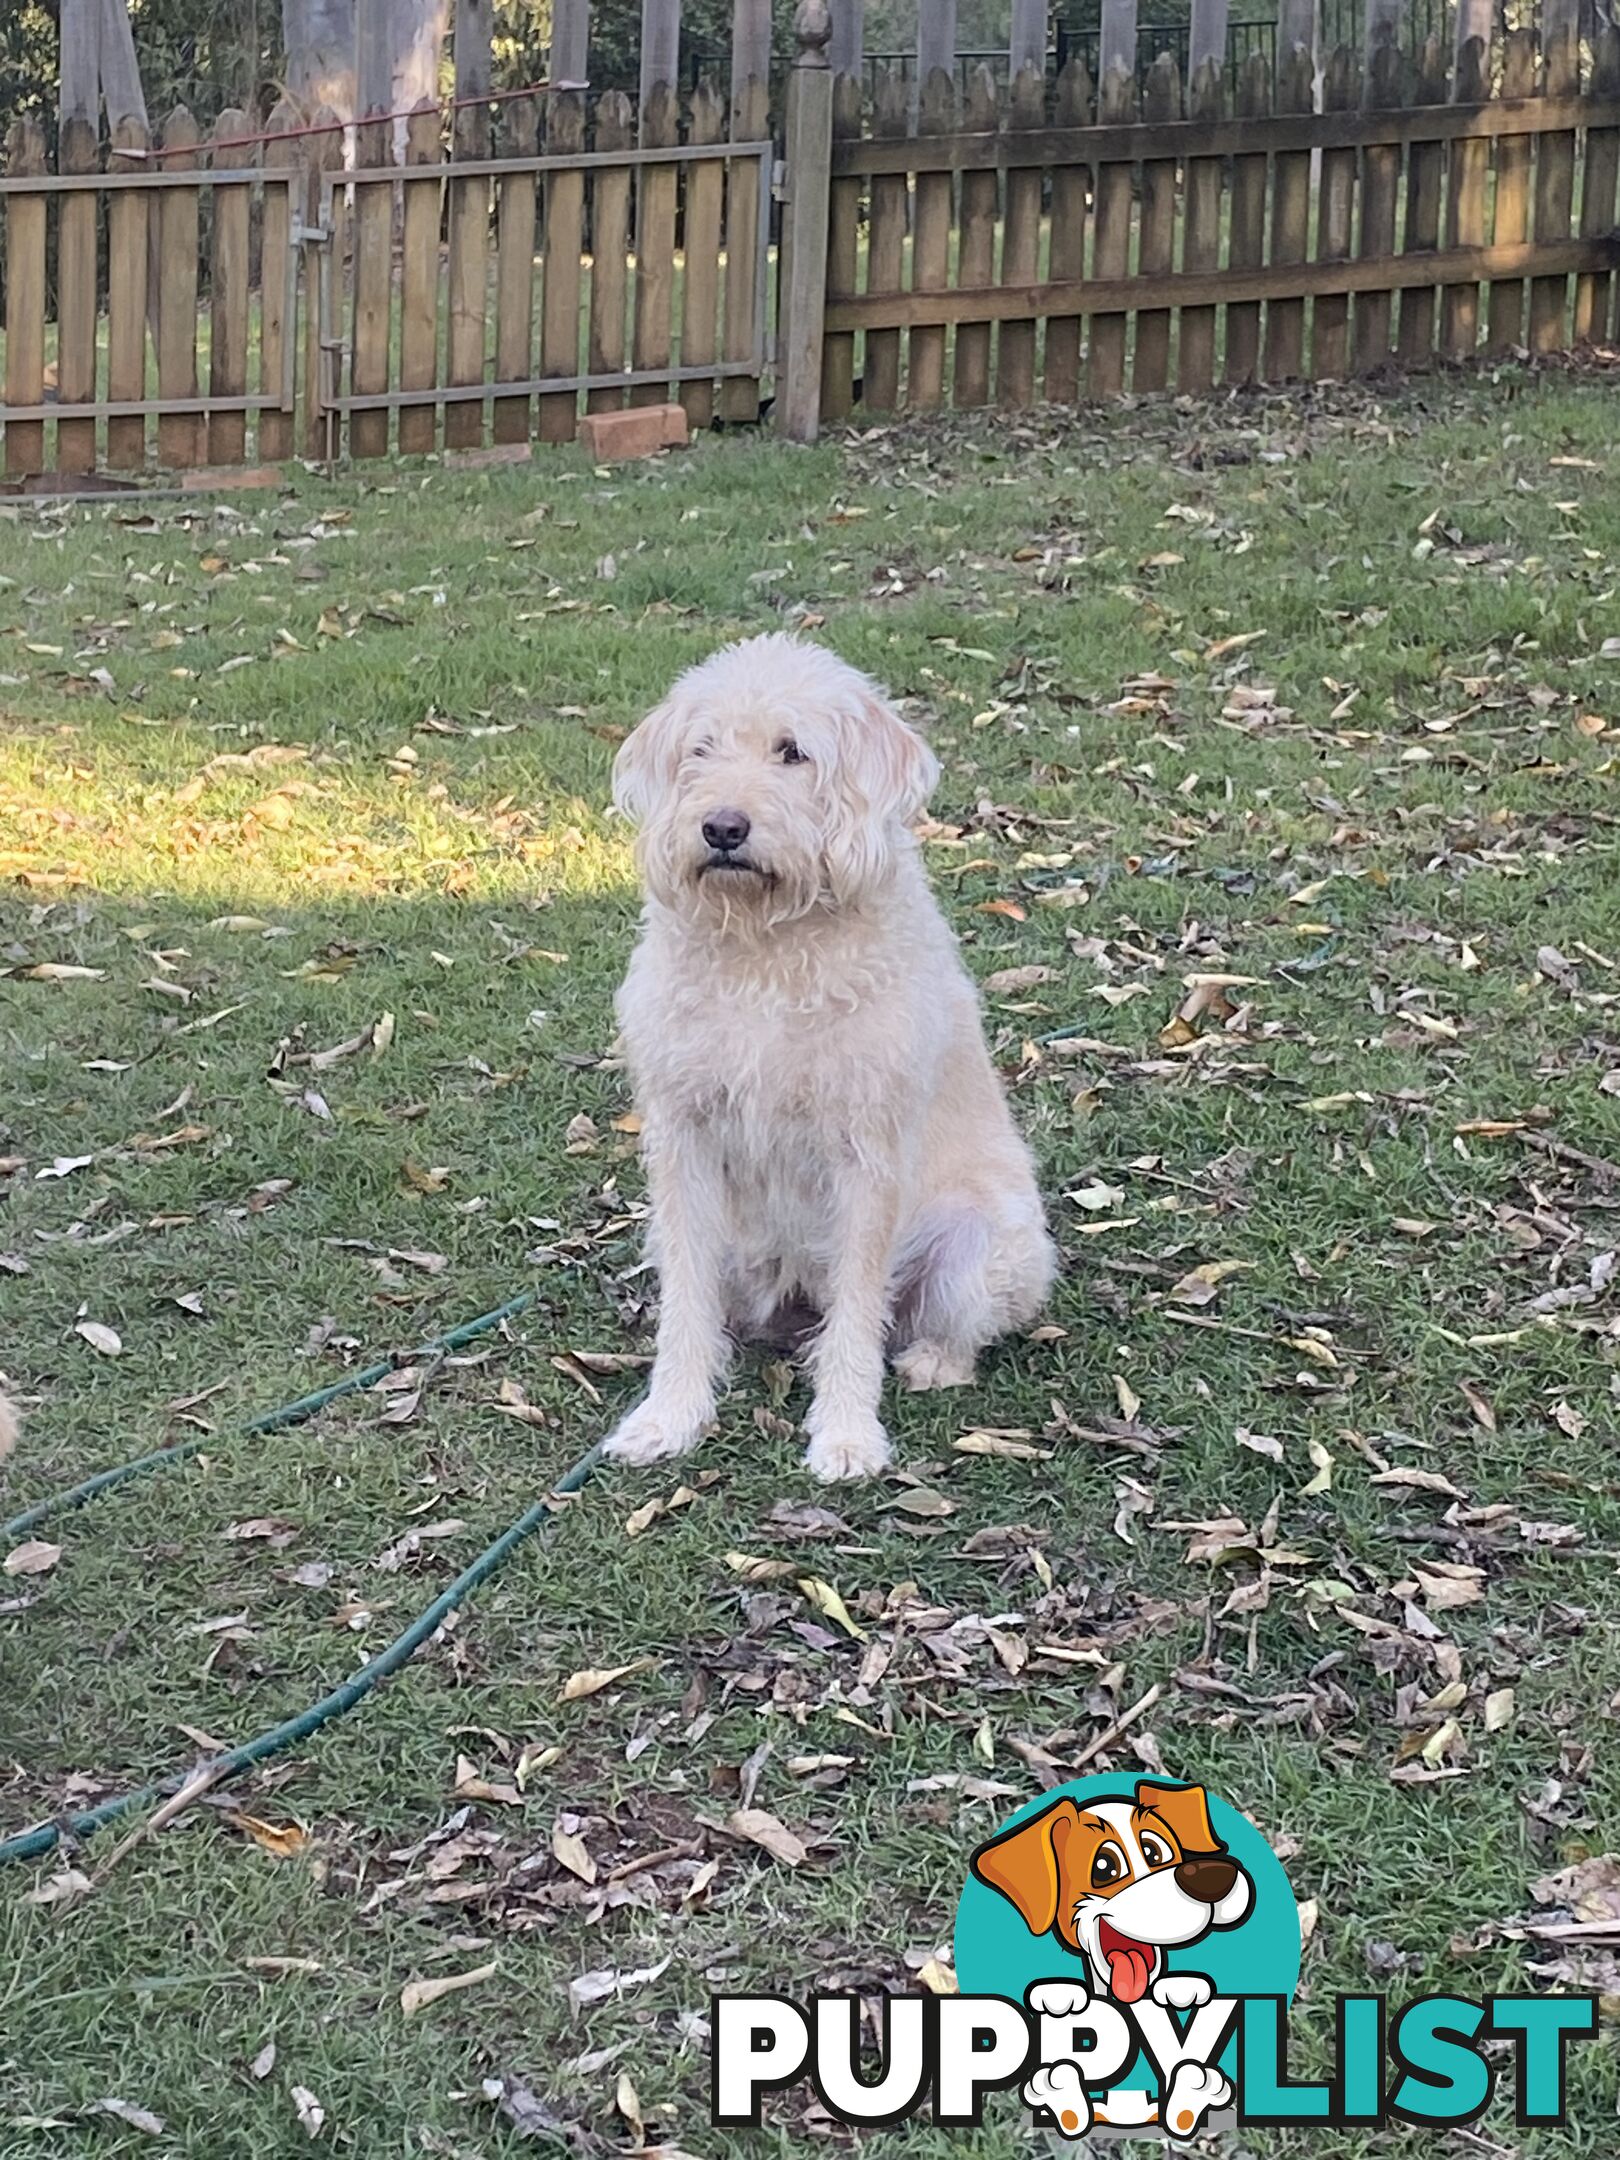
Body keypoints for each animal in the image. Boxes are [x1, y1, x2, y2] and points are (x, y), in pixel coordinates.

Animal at [604, 630, 1058, 1486]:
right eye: (701, 750)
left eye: (793, 752)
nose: (722, 828)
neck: (766, 948)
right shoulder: (684, 1141)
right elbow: (685, 1303)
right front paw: (669, 1416)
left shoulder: (866, 1156)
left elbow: (856, 1311)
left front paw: (846, 1435)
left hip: (985, 1240)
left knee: (942, 1322)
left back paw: (933, 1360)